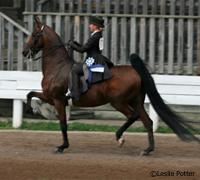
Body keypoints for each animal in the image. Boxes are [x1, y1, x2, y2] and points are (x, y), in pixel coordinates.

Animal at [22, 17, 199, 156]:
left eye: (34, 35)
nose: (24, 52)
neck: (57, 66)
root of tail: (135, 71)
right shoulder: (50, 97)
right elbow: (30, 94)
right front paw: (33, 110)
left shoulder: (58, 100)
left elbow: (63, 124)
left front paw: (61, 146)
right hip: (136, 101)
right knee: (147, 121)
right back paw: (147, 150)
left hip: (118, 102)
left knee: (133, 116)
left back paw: (119, 137)